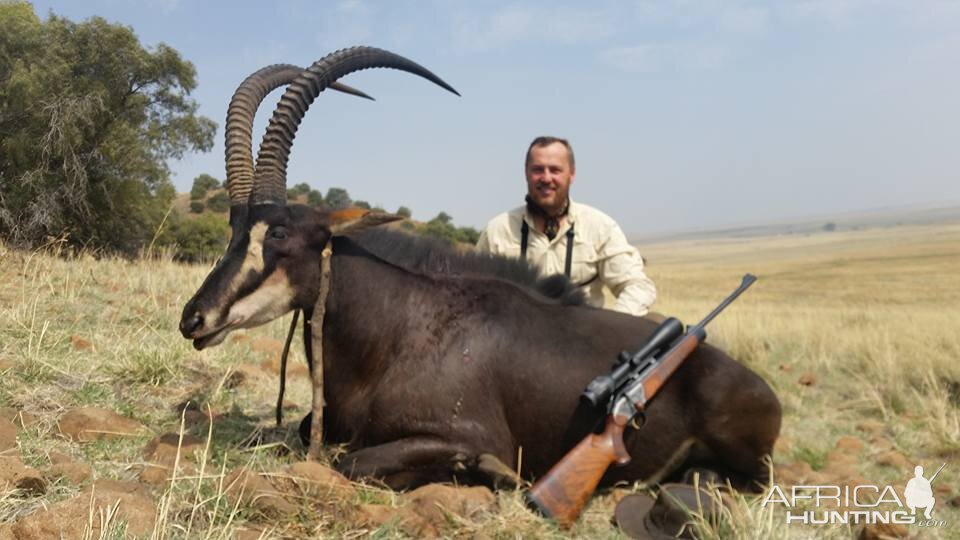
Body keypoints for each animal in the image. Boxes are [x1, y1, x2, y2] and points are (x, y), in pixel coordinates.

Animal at [180, 47, 780, 490]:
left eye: (279, 233)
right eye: (235, 229)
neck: (397, 328)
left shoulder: (465, 432)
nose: (194, 319)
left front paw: (488, 472)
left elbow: (350, 461)